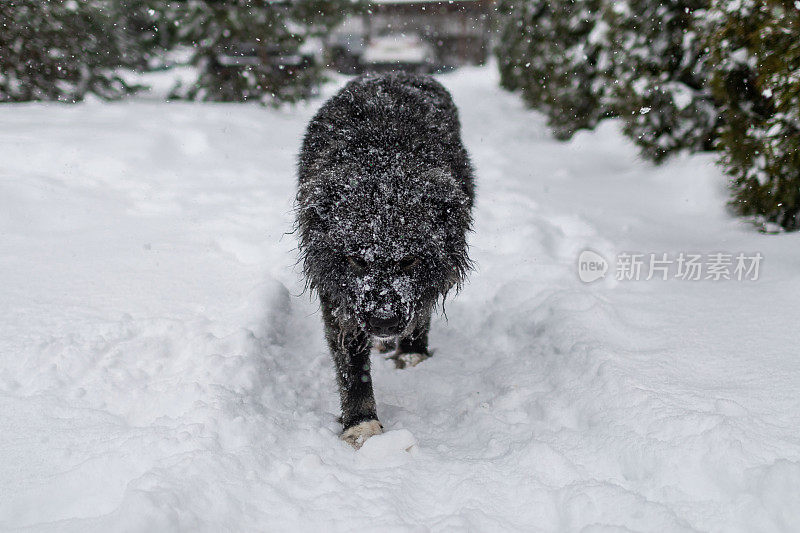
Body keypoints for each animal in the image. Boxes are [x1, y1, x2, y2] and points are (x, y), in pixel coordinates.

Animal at [298, 72, 476, 446]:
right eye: (356, 259)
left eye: (409, 261)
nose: (382, 322)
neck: (383, 163)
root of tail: (394, 72)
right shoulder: (338, 294)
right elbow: (352, 365)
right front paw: (361, 423)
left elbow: (420, 310)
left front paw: (410, 353)